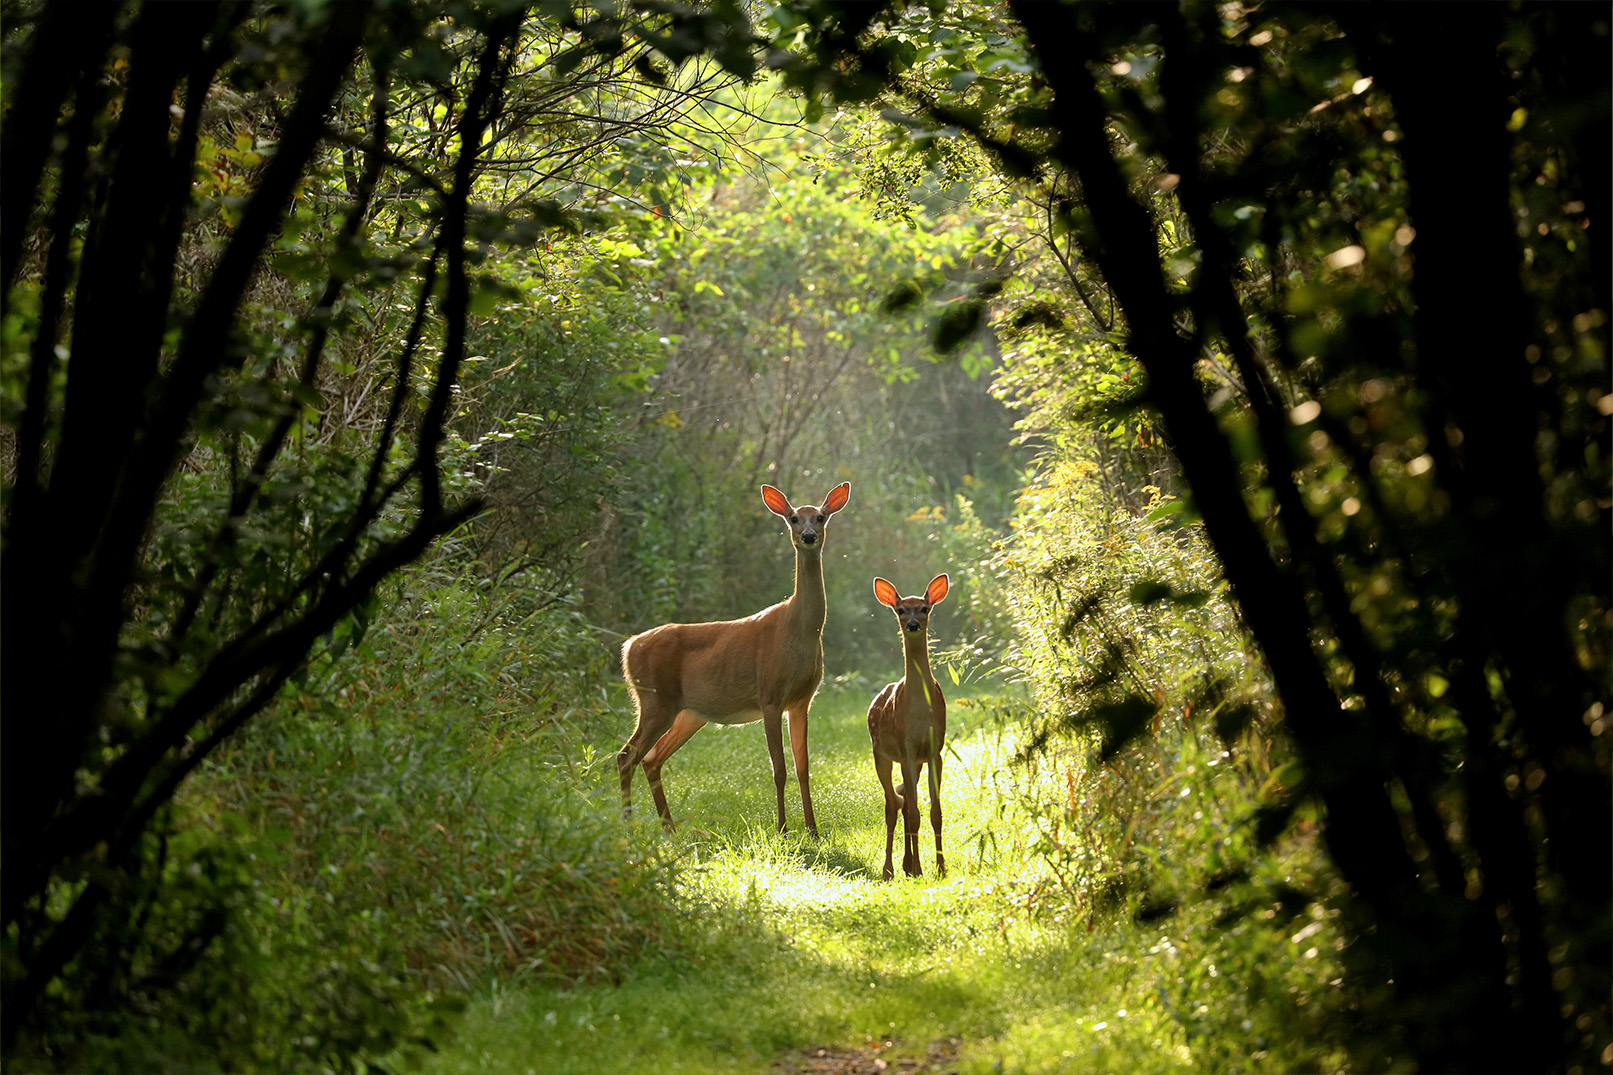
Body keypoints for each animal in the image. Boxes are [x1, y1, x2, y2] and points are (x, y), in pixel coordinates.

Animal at [617, 481, 851, 838]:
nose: (809, 536)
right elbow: (779, 769)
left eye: (821, 517)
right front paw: (783, 829)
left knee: (651, 758)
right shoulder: (770, 694)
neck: (798, 631)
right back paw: (629, 827)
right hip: (655, 700)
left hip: (688, 713)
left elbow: (803, 767)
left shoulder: (802, 700)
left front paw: (813, 830)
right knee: (626, 756)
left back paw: (669, 829)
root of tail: (628, 647)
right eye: (794, 518)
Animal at [867, 573, 950, 881]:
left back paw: (907, 865)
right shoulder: (906, 747)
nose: (913, 625)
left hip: (915, 761)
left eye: (924, 608)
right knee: (893, 805)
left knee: (902, 803)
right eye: (901, 609)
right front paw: (921, 867)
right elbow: (914, 812)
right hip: (880, 753)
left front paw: (940, 868)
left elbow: (935, 813)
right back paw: (890, 869)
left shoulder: (934, 750)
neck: (919, 712)